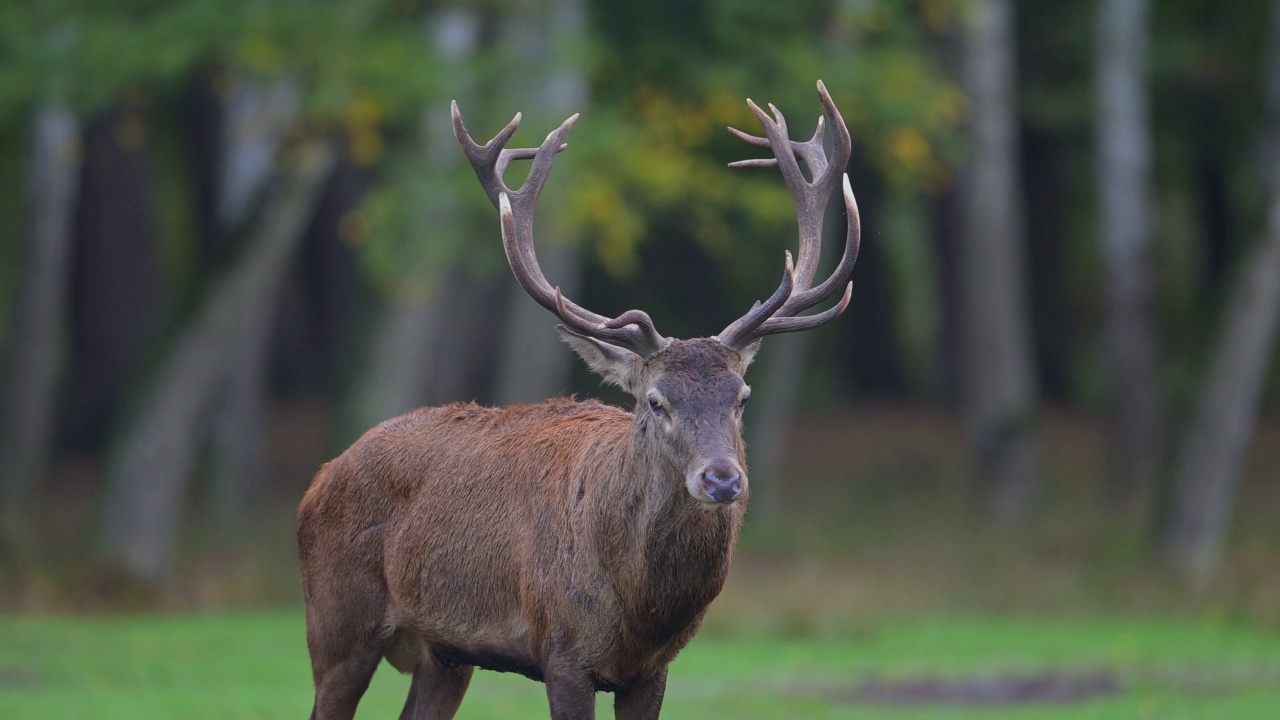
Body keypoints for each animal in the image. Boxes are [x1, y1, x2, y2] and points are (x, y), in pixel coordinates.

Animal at [296, 79, 860, 717]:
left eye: (741, 396)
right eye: (655, 401)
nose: (721, 479)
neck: (639, 614)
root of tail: (320, 479)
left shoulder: (653, 671)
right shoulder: (562, 651)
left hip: (445, 654)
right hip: (336, 624)